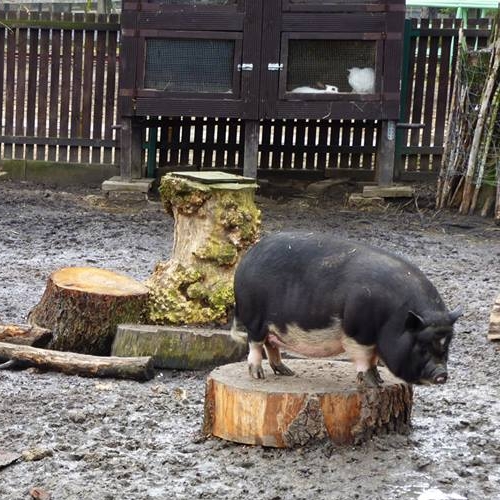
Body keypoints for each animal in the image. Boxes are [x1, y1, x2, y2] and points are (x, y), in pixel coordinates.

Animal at [232, 232, 462, 388]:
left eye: (447, 345)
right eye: (421, 346)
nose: (442, 374)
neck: (393, 318)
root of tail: (246, 259)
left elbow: (373, 358)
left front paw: (379, 380)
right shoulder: (358, 332)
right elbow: (364, 358)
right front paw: (373, 384)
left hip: (273, 326)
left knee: (271, 345)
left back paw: (287, 372)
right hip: (254, 319)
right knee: (255, 345)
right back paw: (258, 375)